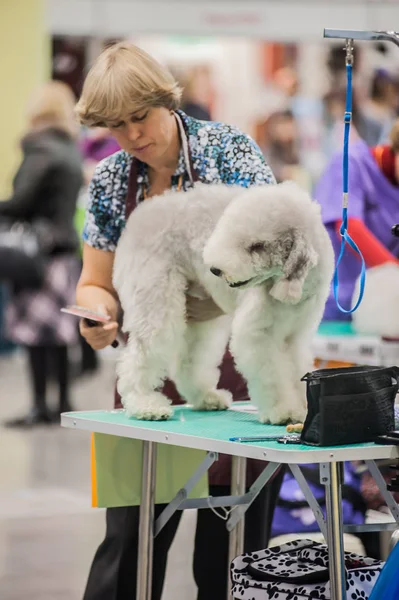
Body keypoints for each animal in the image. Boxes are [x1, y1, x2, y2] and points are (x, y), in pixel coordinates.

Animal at [113, 180, 334, 424]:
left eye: (258, 246)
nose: (216, 270)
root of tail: (139, 217)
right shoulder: (257, 335)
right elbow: (272, 374)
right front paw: (284, 410)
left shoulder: (295, 337)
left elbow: (296, 370)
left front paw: (304, 408)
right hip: (155, 299)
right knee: (140, 357)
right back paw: (145, 404)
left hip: (199, 315)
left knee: (188, 361)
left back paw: (206, 397)